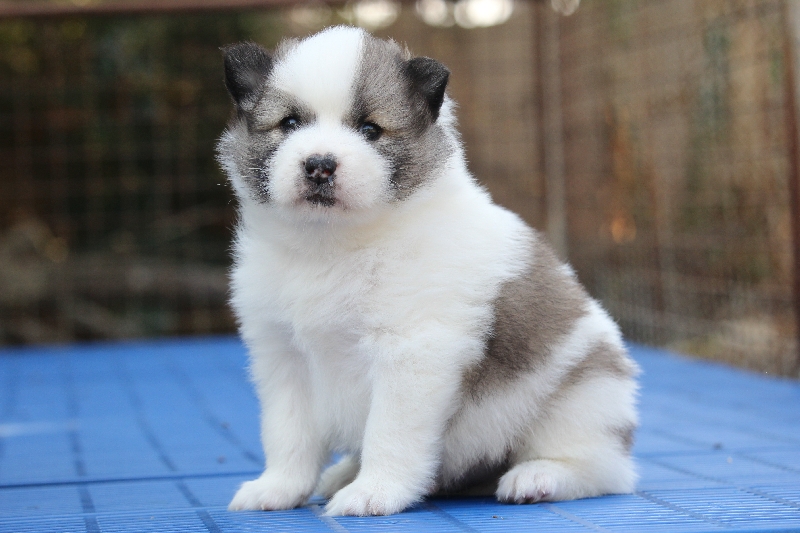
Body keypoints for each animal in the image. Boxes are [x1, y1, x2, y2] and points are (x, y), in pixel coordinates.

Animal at [217, 26, 638, 517]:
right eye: (289, 124)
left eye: (370, 129)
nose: (320, 164)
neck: (333, 244)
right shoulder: (283, 356)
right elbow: (288, 434)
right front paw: (279, 487)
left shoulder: (413, 351)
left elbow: (389, 433)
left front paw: (373, 492)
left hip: (582, 396)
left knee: (601, 466)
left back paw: (540, 476)